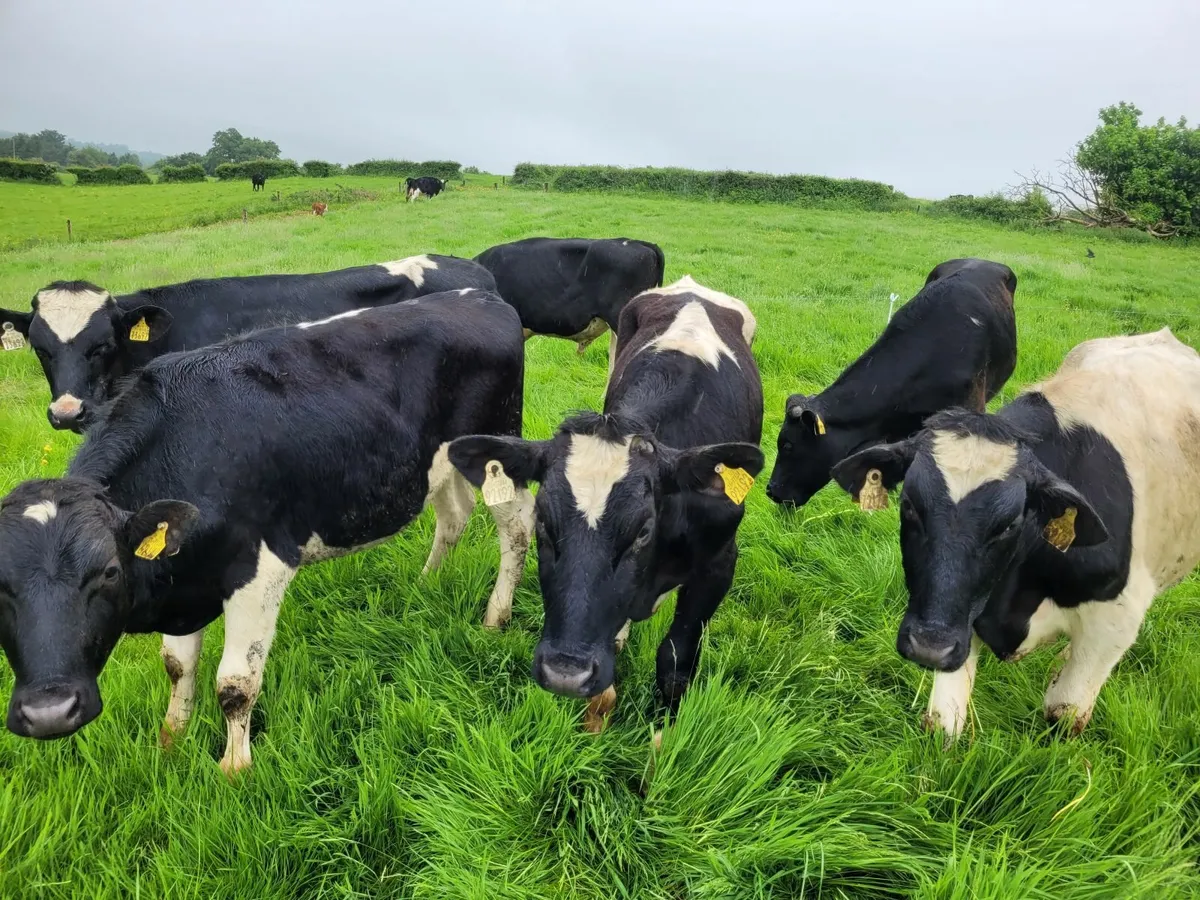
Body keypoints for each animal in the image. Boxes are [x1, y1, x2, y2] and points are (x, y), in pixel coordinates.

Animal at [0, 290, 533, 776]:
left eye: (109, 571)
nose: (50, 712)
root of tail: (482, 296)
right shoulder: (183, 575)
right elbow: (177, 666)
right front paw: (171, 739)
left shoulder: (260, 569)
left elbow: (235, 684)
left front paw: (234, 769)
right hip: (438, 463)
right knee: (453, 514)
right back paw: (427, 582)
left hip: (497, 453)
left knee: (518, 529)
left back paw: (495, 616)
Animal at [448, 276, 762, 732]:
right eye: (542, 522)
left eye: (643, 530)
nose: (565, 672)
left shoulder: (720, 562)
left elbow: (676, 659)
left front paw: (665, 736)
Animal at [831, 329, 1200, 742]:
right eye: (909, 505)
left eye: (1010, 523)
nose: (929, 648)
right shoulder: (963, 619)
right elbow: (943, 724)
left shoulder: (1114, 622)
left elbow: (1063, 714)